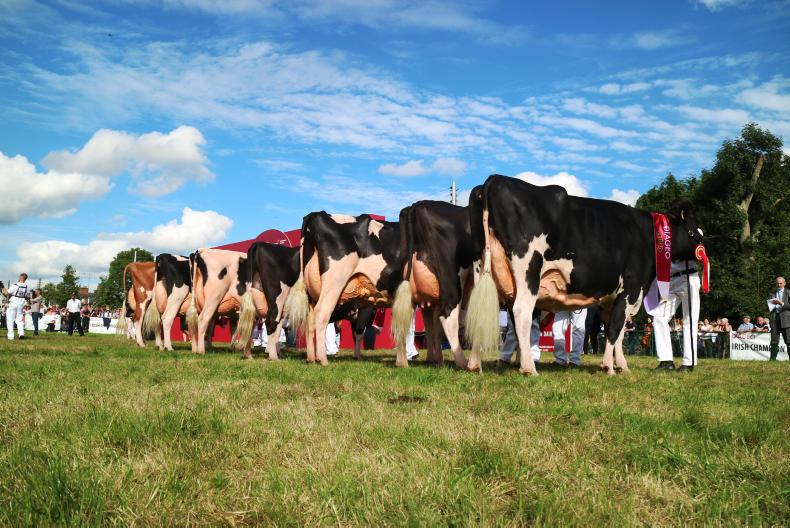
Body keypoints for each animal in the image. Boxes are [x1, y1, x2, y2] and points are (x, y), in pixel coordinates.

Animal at [286, 213, 405, 366]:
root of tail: (317, 214)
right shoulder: (366, 308)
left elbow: (358, 333)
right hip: (334, 282)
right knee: (322, 314)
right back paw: (323, 359)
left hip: (311, 293)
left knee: (310, 321)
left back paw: (311, 358)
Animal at [390, 200, 483, 370]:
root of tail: (417, 205)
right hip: (452, 280)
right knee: (448, 317)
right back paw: (461, 362)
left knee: (410, 317)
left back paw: (407, 361)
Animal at [466, 174, 704, 376]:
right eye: (694, 231)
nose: (703, 249)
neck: (649, 236)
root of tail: (495, 179)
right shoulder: (631, 288)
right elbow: (615, 329)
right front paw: (609, 368)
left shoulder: (611, 299)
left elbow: (617, 332)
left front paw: (622, 366)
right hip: (528, 270)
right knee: (521, 313)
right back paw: (528, 368)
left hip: (482, 269)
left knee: (479, 312)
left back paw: (474, 364)